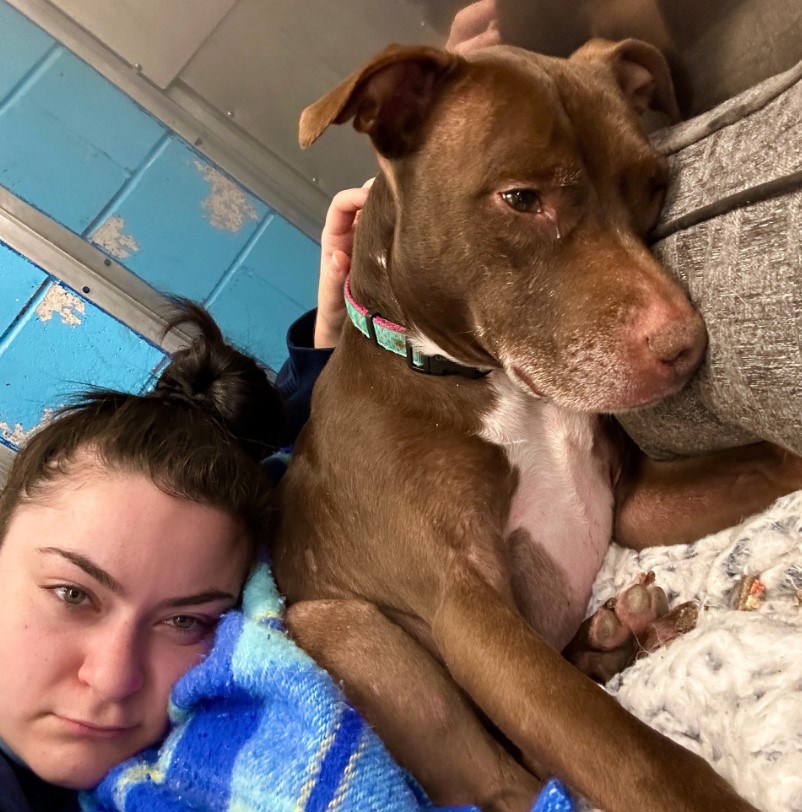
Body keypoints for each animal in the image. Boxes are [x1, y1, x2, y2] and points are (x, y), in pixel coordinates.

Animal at [272, 39, 796, 812]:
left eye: (652, 184)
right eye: (522, 199)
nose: (688, 347)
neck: (494, 385)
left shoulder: (633, 501)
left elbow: (760, 460)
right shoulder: (469, 611)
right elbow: (637, 758)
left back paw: (614, 636)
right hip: (339, 625)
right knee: (509, 783)